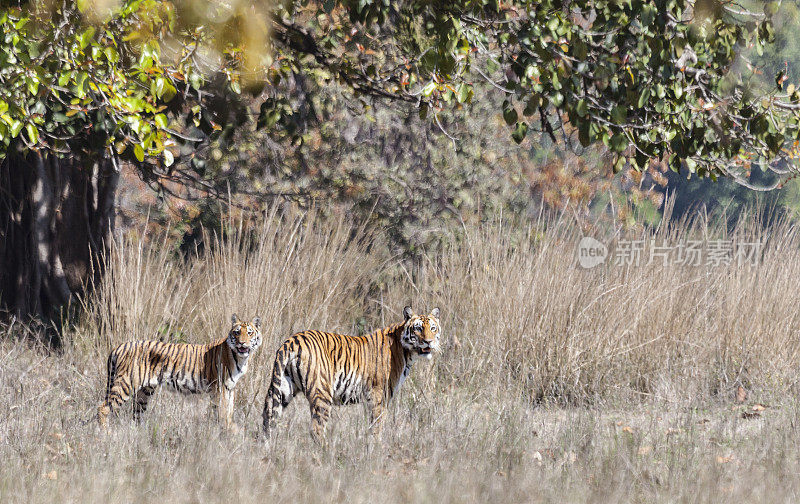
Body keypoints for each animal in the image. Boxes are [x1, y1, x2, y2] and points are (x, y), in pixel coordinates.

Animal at [95, 316, 260, 430]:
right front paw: (230, 432)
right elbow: (224, 413)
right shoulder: (220, 388)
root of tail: (119, 346)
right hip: (126, 384)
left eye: (249, 333)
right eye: (237, 333)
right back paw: (106, 434)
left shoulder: (230, 388)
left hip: (144, 392)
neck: (241, 358)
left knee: (136, 415)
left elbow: (229, 412)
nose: (242, 343)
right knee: (102, 408)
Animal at [262, 306, 440, 440]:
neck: (407, 353)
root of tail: (292, 340)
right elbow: (377, 426)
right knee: (316, 429)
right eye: (418, 328)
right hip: (321, 392)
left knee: (268, 421)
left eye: (433, 328)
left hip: (282, 389)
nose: (429, 342)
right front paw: (376, 449)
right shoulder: (378, 395)